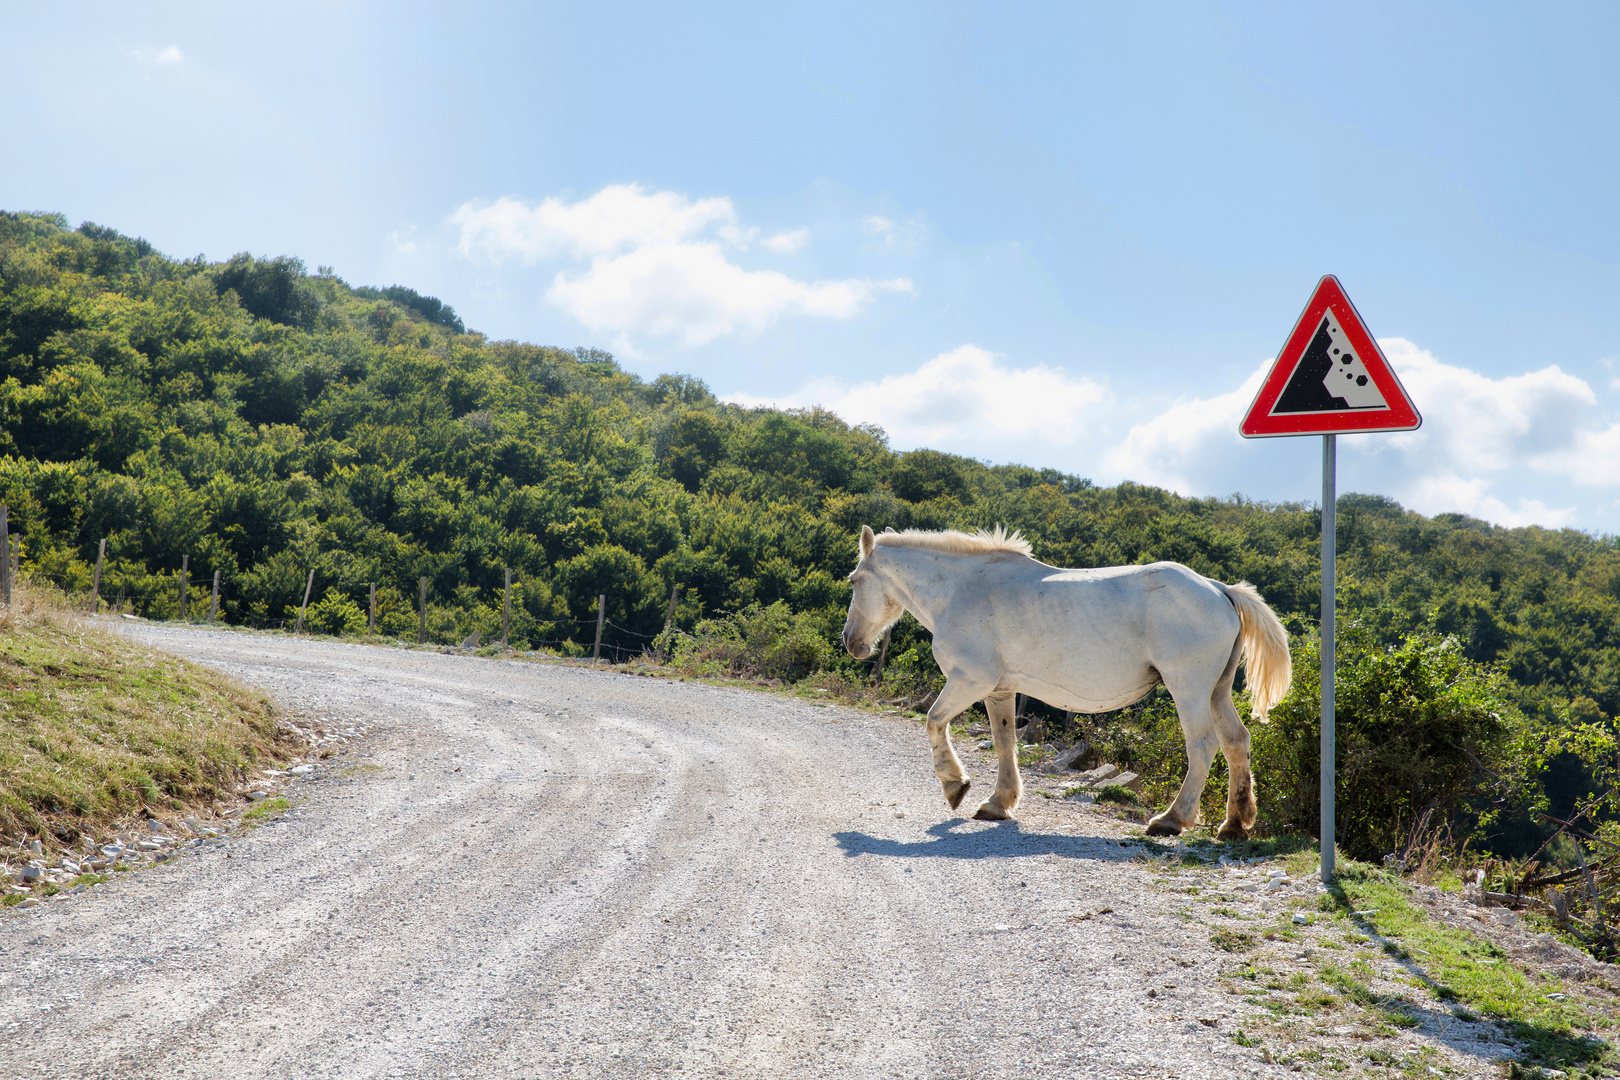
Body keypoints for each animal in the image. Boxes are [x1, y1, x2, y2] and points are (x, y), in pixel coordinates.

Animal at [848, 527, 1289, 841]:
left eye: (853, 581)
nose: (851, 642)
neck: (962, 589)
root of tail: (1219, 589)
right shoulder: (999, 690)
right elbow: (1004, 741)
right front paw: (999, 802)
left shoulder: (971, 680)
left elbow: (935, 721)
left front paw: (956, 786)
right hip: (1217, 690)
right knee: (1236, 741)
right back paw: (1234, 824)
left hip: (1189, 688)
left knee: (1203, 744)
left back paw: (1171, 820)